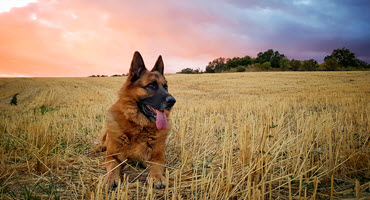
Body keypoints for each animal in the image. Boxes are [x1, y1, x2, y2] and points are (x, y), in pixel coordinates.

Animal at [99, 51, 176, 189]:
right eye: (151, 85)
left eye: (165, 86)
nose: (172, 101)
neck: (138, 126)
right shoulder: (112, 157)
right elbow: (113, 168)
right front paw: (109, 178)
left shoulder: (157, 158)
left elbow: (156, 167)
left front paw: (157, 177)